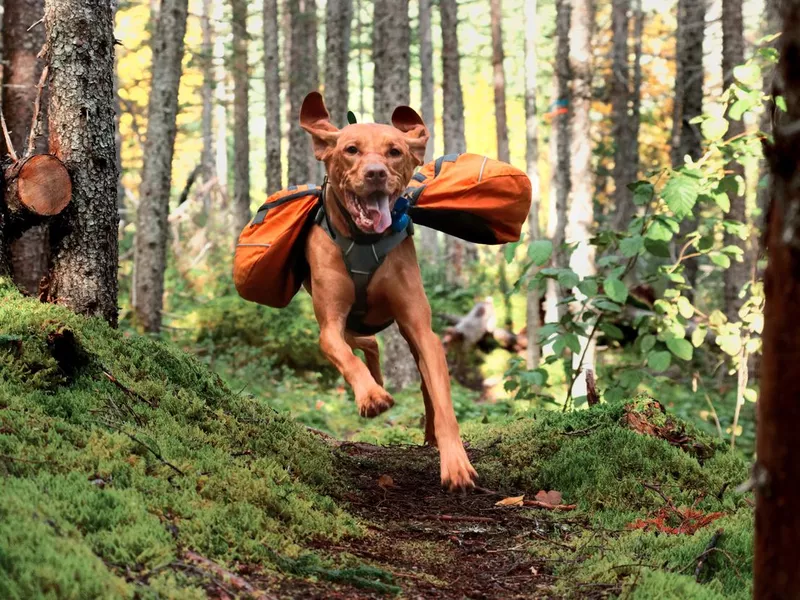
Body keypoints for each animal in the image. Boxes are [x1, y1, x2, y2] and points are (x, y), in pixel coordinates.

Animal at [298, 90, 476, 492]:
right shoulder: (329, 325)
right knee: (364, 344)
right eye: (351, 149)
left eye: (394, 151)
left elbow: (443, 400)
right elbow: (343, 355)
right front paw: (371, 397)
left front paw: (456, 462)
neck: (365, 239)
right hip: (346, 321)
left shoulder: (421, 328)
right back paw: (374, 384)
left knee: (418, 379)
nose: (376, 173)